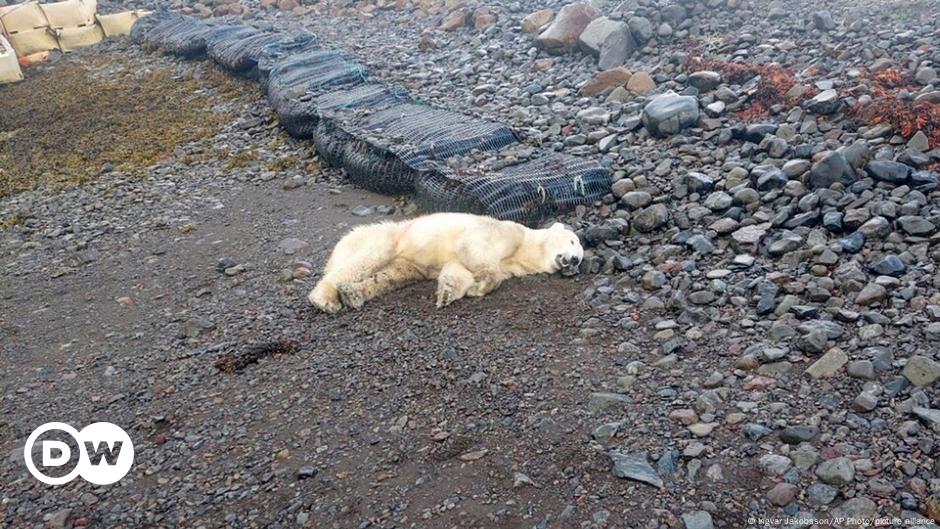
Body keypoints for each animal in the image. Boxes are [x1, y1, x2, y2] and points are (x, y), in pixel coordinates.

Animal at [308, 211, 584, 312]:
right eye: (573, 241)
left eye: (580, 259)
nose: (573, 261)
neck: (526, 248)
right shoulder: (505, 232)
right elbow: (474, 247)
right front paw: (481, 285)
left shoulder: (510, 264)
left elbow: (458, 269)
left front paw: (448, 293)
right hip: (387, 238)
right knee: (365, 260)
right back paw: (325, 299)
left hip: (406, 263)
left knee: (390, 276)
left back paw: (353, 294)